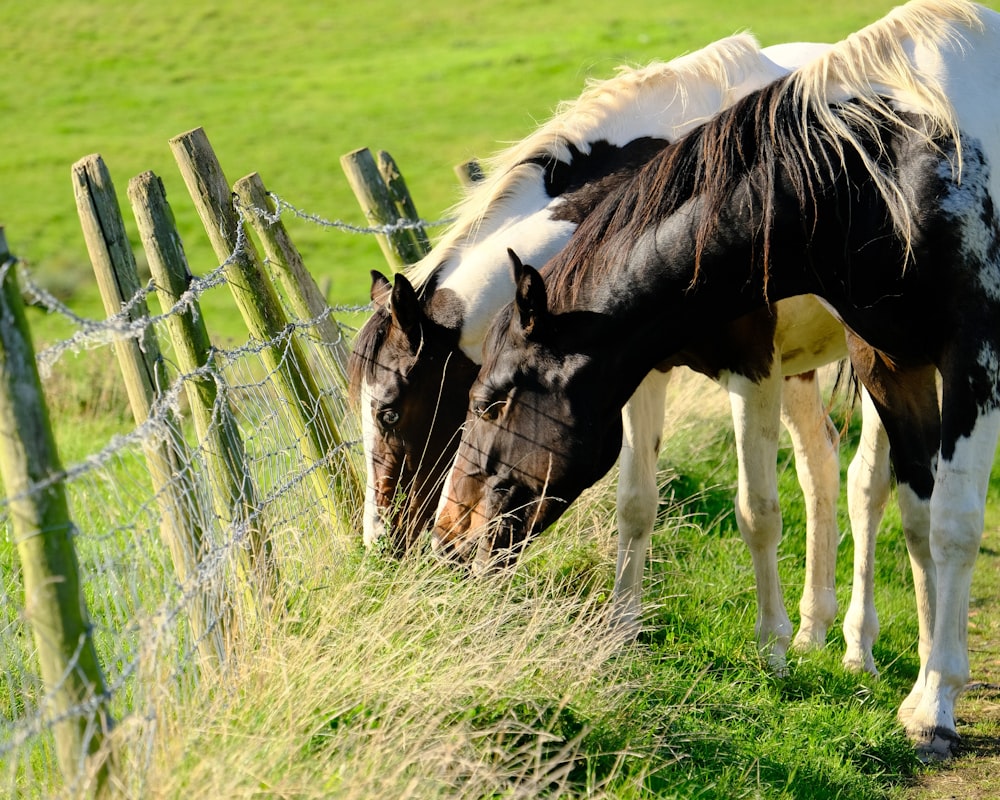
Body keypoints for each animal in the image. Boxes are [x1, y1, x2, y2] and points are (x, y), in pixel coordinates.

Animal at [352, 31, 892, 672]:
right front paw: (623, 629)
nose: (377, 544)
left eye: (388, 413)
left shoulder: (752, 370)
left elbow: (757, 510)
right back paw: (814, 627)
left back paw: (857, 646)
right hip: (799, 370)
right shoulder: (640, 372)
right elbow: (637, 503)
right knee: (820, 465)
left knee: (866, 484)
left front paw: (772, 651)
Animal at [434, 0, 1000, 760]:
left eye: (490, 403)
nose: (448, 536)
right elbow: (913, 516)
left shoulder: (965, 356)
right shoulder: (887, 358)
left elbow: (943, 524)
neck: (886, 168)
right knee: (835, 474)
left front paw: (931, 702)